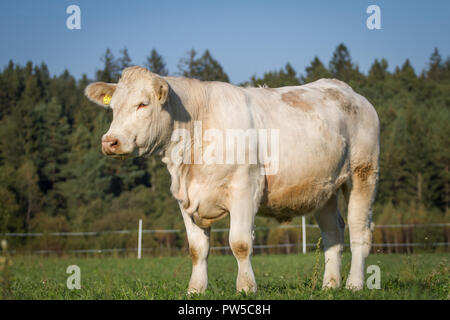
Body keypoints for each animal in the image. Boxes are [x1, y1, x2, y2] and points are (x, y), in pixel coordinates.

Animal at [85, 66, 380, 294]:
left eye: (143, 104)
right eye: (113, 107)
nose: (110, 141)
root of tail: (345, 89)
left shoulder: (245, 189)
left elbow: (239, 243)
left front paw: (246, 287)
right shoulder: (184, 199)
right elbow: (197, 248)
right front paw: (195, 289)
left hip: (363, 172)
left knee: (359, 230)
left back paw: (355, 284)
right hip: (324, 188)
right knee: (333, 232)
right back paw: (330, 285)